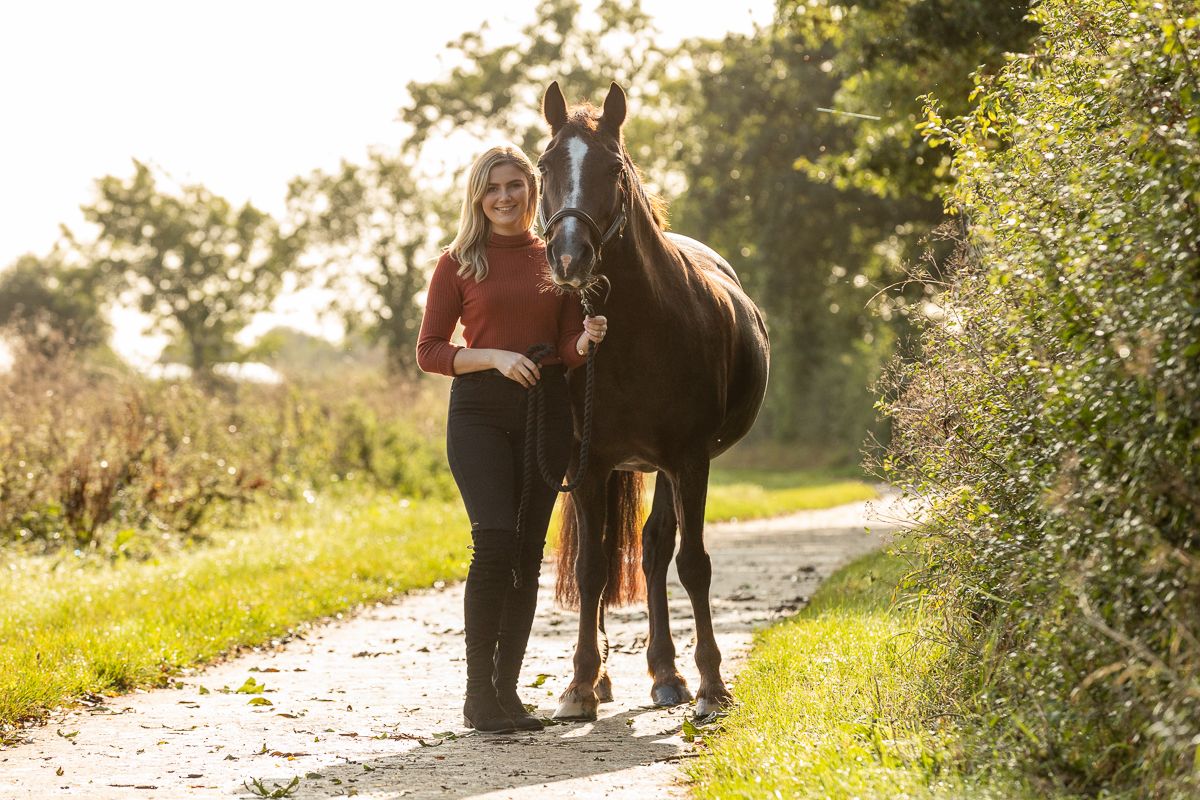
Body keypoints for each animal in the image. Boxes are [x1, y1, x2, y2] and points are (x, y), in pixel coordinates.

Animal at [537, 80, 770, 719]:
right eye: (544, 165)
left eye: (613, 168)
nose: (570, 258)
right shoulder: (588, 465)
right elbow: (592, 568)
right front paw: (580, 684)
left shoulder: (689, 459)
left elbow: (692, 563)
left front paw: (712, 684)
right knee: (629, 552)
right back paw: (617, 676)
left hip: (668, 468)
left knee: (656, 549)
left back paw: (668, 673)